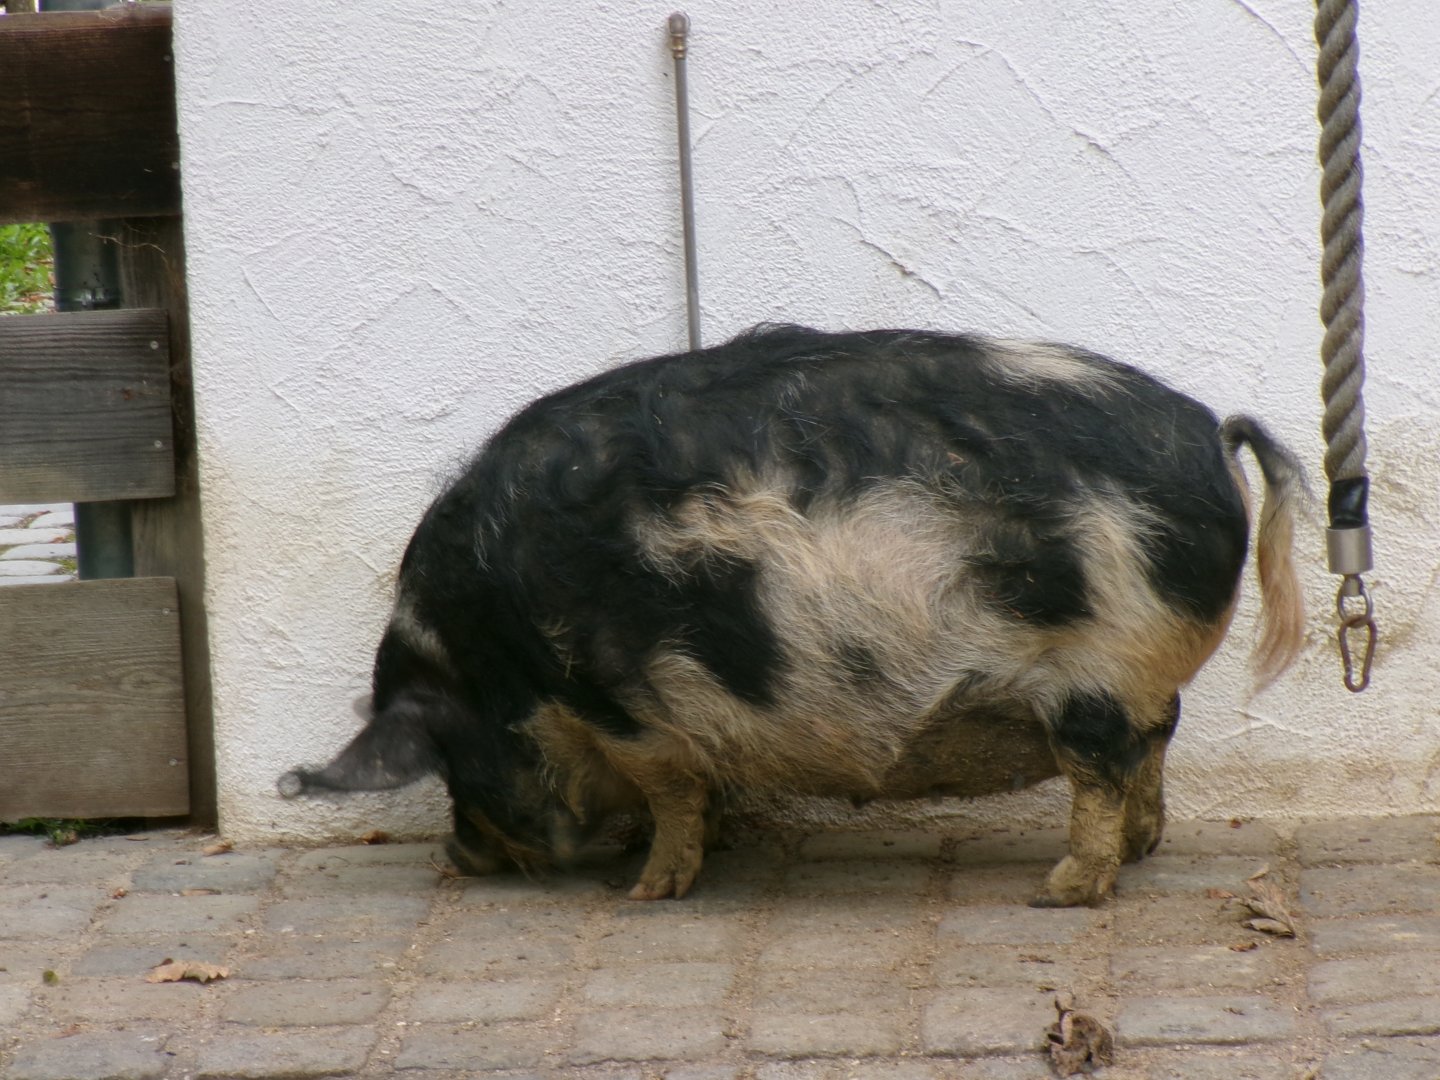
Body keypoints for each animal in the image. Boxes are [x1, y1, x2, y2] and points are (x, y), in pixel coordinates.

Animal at [279, 324, 1304, 907]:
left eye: (450, 757)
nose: (457, 858)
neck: (491, 656)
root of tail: (1213, 437)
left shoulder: (626, 702)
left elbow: (670, 793)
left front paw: (645, 891)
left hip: (1097, 677)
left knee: (1104, 773)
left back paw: (1059, 894)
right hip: (1135, 686)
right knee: (1155, 750)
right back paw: (1138, 851)